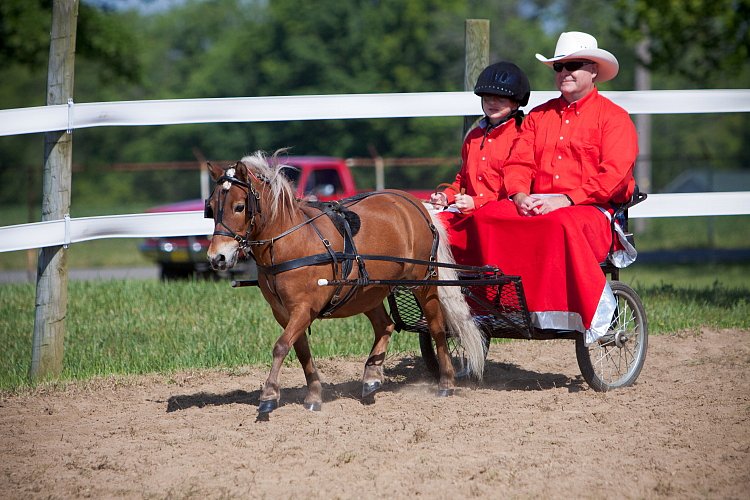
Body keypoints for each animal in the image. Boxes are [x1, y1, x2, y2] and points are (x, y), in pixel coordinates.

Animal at [206, 152, 488, 414]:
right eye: (210, 206)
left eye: (239, 207)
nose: (217, 257)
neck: (291, 241)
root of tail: (416, 204)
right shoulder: (284, 313)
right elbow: (301, 350)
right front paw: (314, 395)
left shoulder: (304, 308)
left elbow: (281, 346)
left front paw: (269, 396)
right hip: (367, 290)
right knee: (385, 326)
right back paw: (371, 378)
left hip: (423, 282)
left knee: (437, 327)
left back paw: (446, 382)